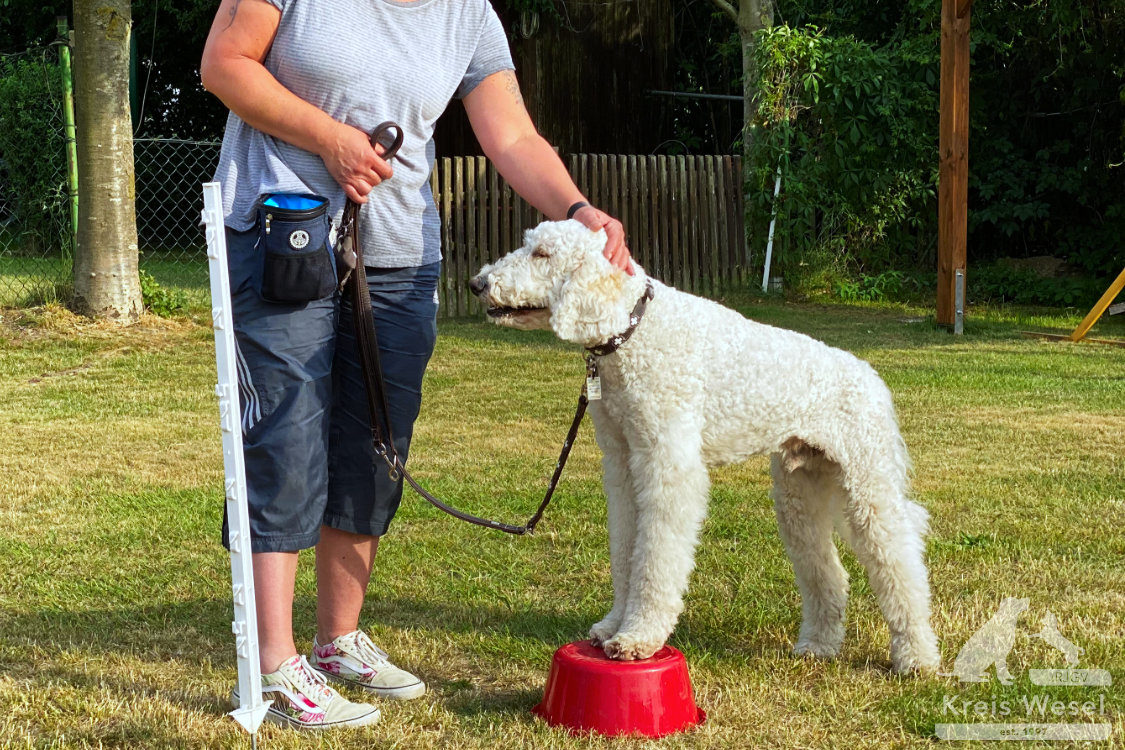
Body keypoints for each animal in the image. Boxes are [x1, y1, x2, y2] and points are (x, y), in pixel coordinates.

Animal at [465, 220, 940, 670]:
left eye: (543, 254)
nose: (477, 282)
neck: (637, 331)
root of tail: (870, 377)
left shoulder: (667, 466)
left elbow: (655, 558)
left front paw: (638, 636)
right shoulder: (622, 464)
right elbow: (626, 550)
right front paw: (614, 624)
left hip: (868, 485)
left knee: (903, 566)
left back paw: (916, 657)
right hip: (800, 494)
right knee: (830, 573)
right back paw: (818, 647)